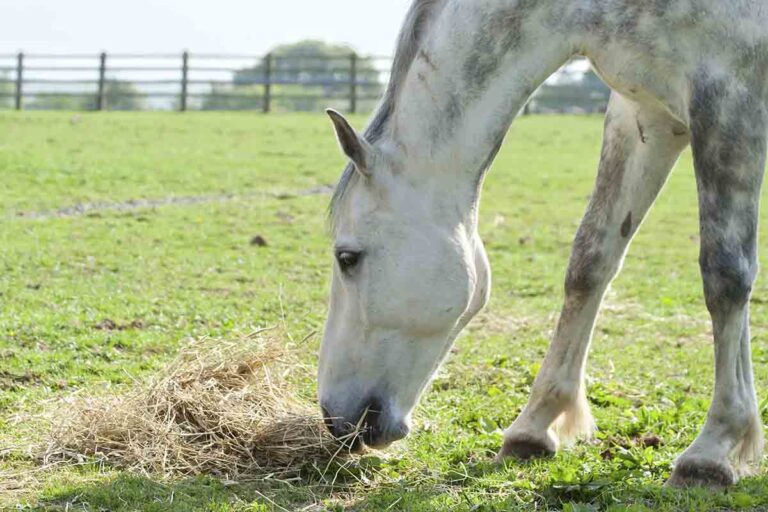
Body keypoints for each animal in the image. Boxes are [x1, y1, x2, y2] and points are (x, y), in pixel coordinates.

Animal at [317, 0, 768, 489]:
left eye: (347, 258)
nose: (335, 418)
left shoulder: (730, 101)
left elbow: (725, 275)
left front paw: (714, 450)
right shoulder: (646, 116)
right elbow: (590, 260)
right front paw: (535, 425)